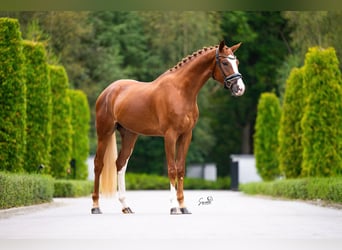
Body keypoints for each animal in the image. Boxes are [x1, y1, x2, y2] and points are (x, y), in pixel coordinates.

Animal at [92, 39, 244, 215]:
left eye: (237, 62)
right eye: (225, 62)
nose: (240, 88)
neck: (181, 92)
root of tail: (107, 91)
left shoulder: (186, 135)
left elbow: (181, 169)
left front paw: (183, 206)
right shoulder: (170, 135)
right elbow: (172, 169)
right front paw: (173, 207)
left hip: (130, 134)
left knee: (120, 164)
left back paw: (126, 206)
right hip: (104, 133)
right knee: (98, 164)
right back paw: (95, 206)